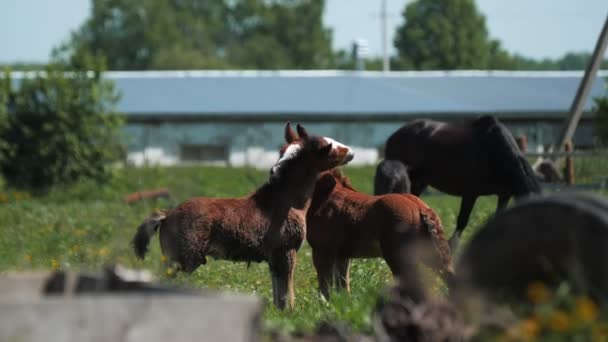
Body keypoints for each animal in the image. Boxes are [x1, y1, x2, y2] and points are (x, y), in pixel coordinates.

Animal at [131, 123, 354, 310]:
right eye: (328, 146)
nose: (351, 152)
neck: (285, 202)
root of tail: (167, 215)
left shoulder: (274, 258)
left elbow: (278, 292)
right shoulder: (287, 252)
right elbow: (287, 292)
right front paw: (292, 312)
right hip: (181, 260)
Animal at [306, 169, 454, 300]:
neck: (324, 197)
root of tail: (420, 207)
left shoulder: (322, 251)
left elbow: (324, 286)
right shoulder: (342, 255)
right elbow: (343, 285)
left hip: (398, 257)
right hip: (430, 255)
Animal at [376, 116, 540, 250]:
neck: (494, 151)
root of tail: (395, 135)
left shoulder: (504, 194)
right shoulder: (470, 193)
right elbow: (462, 221)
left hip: (418, 183)